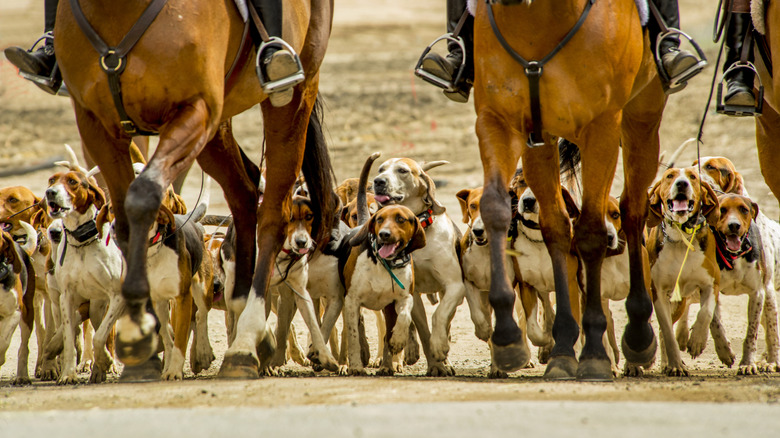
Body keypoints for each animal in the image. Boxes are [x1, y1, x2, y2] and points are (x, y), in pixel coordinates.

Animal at [54, 0, 336, 378]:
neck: (119, 11)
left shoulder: (194, 109)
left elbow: (143, 197)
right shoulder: (96, 125)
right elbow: (125, 220)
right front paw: (143, 338)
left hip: (292, 100)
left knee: (273, 213)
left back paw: (246, 341)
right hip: (218, 126)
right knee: (245, 194)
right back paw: (244, 315)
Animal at [476, 0, 664, 378]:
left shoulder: (602, 126)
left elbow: (591, 232)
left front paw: (594, 353)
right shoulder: (498, 118)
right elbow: (496, 209)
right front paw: (510, 336)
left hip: (641, 121)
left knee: (633, 209)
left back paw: (638, 334)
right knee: (560, 227)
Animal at [644, 167, 720, 376]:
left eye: (693, 177)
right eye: (669, 176)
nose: (682, 183)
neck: (681, 237)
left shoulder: (712, 283)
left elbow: (705, 312)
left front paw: (697, 341)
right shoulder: (658, 292)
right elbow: (668, 332)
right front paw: (676, 365)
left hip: (679, 302)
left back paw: (666, 363)